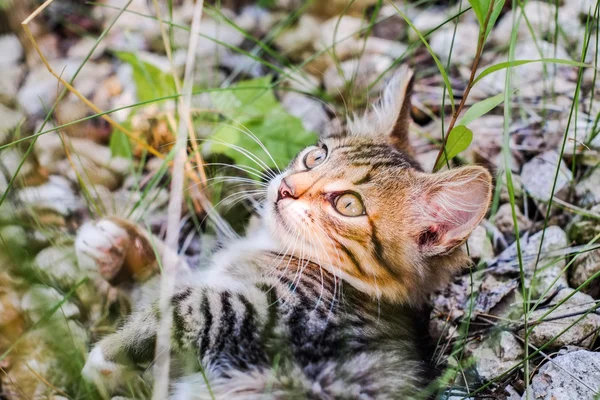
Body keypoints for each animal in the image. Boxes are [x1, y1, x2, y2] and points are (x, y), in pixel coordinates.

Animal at [78, 67, 492, 398]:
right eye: (316, 156)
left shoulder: (271, 316)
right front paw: (121, 246)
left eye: (348, 205)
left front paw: (108, 353)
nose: (286, 188)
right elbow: (175, 279)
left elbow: (185, 304)